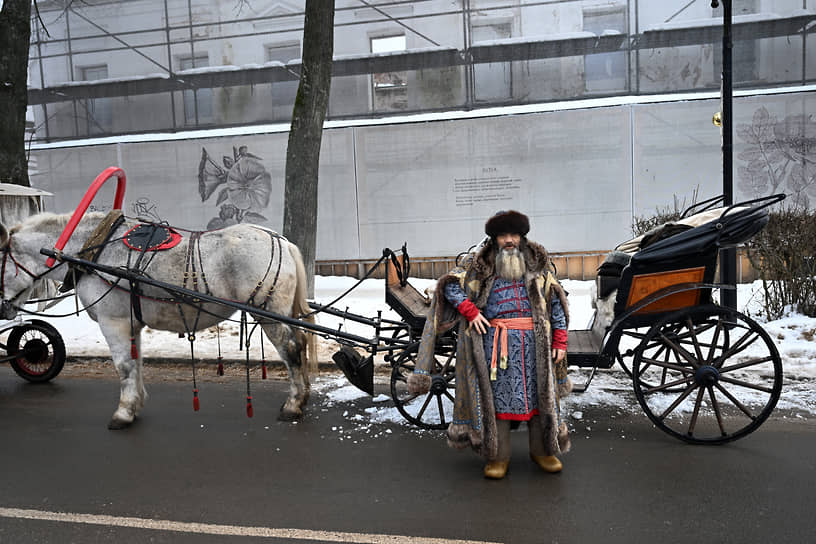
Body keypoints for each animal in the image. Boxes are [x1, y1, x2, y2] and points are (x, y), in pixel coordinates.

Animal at [0, 212, 316, 430]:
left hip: (267, 312)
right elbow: (136, 362)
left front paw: (123, 413)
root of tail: (282, 241)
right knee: (299, 343)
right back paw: (303, 396)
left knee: (291, 348)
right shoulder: (131, 323)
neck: (93, 251)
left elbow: (124, 366)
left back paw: (293, 404)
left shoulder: (113, 322)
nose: (3, 308)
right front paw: (135, 404)